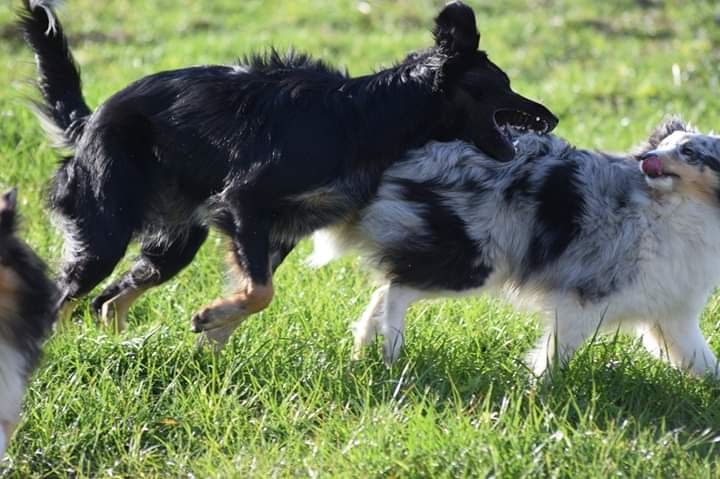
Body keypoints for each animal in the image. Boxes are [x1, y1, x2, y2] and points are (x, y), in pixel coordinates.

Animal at [18, 0, 556, 344]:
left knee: (107, 301)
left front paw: (216, 325)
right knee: (67, 295)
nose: (551, 117)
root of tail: (89, 122)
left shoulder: (282, 227)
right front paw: (213, 318)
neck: (369, 116)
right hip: (105, 230)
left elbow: (257, 287)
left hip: (174, 242)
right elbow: (261, 290)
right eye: (503, 84)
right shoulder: (244, 202)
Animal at [312, 118, 720, 380]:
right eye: (661, 147)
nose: (645, 160)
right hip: (474, 263)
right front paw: (537, 392)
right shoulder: (583, 302)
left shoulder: (674, 318)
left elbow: (706, 363)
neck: (675, 209)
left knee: (384, 289)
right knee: (396, 290)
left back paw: (367, 348)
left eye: (688, 151)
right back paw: (393, 351)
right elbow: (553, 355)